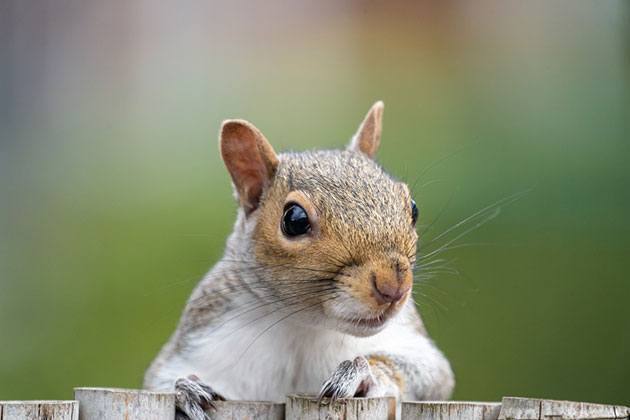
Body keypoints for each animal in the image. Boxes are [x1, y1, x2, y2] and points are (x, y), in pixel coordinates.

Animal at [146, 102, 456, 420]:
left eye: (413, 208)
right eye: (294, 220)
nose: (394, 286)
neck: (304, 327)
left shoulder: (413, 346)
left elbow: (430, 374)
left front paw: (363, 373)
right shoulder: (199, 341)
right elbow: (161, 380)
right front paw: (185, 391)